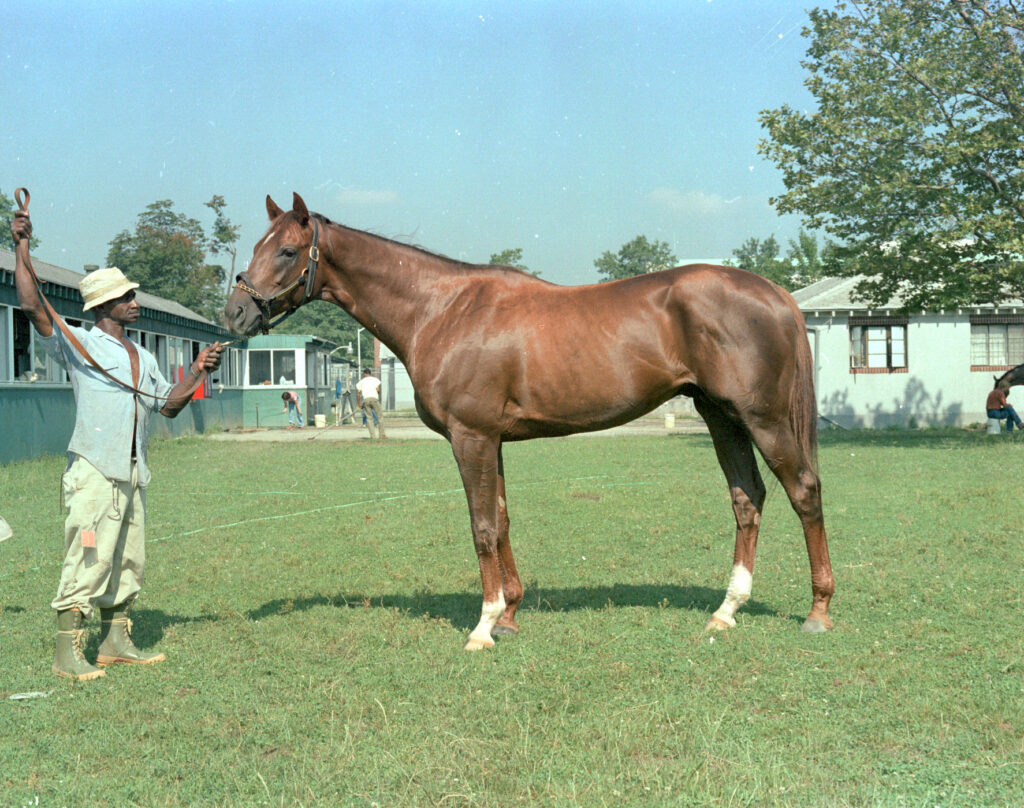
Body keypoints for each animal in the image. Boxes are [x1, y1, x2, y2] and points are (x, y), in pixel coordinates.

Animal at [222, 192, 831, 647]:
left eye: (287, 250)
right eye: (258, 246)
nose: (236, 313)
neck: (441, 309)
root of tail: (775, 293)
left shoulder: (470, 437)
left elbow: (482, 526)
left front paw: (484, 625)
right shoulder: (492, 440)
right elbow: (503, 518)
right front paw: (511, 616)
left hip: (763, 419)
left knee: (803, 490)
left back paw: (818, 610)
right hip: (721, 416)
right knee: (747, 498)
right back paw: (726, 610)